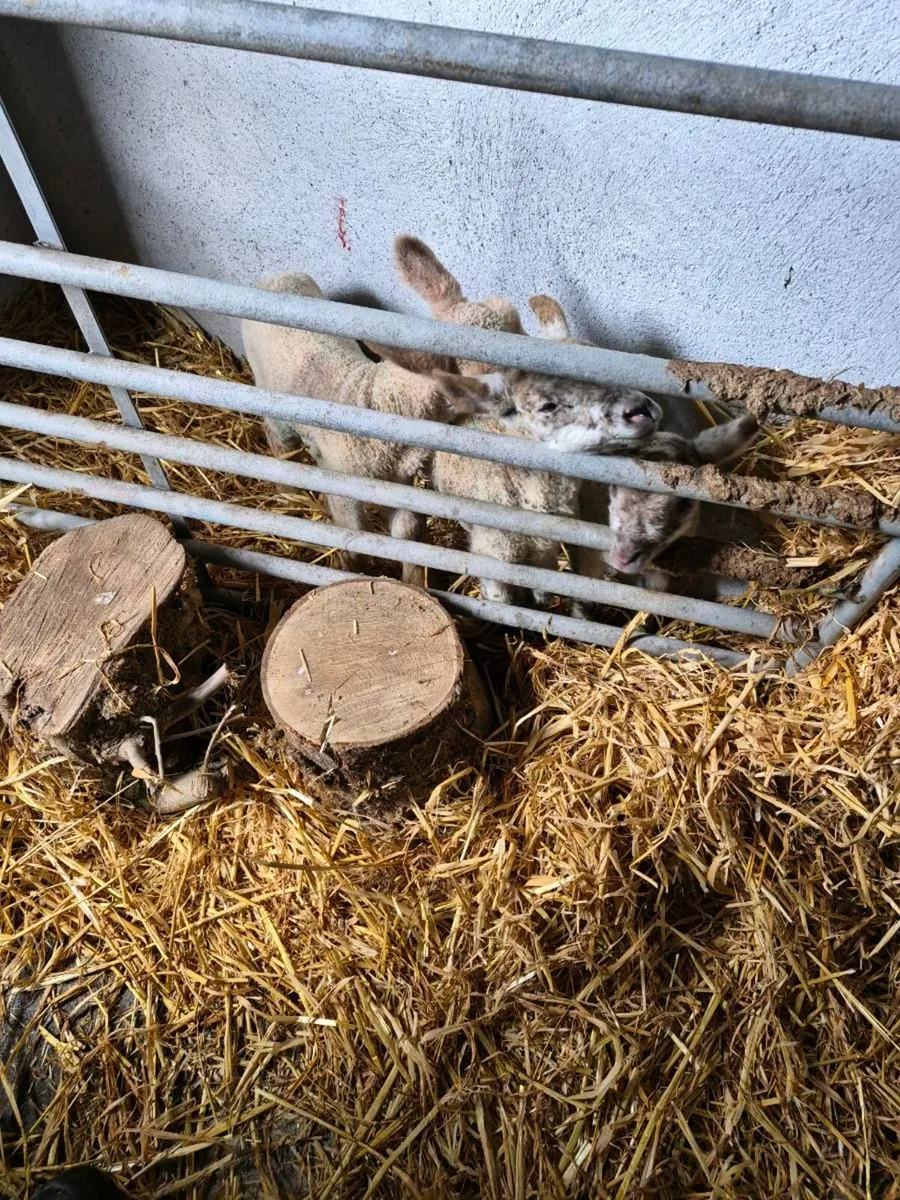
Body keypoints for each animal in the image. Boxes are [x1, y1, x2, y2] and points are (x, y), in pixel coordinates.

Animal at [241, 272, 499, 585]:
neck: (377, 400)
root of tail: (277, 277)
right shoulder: (345, 488)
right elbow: (354, 534)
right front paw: (352, 572)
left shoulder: (396, 482)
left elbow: (407, 532)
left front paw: (414, 582)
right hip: (270, 395)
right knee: (277, 439)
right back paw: (286, 491)